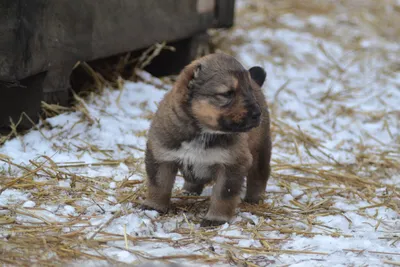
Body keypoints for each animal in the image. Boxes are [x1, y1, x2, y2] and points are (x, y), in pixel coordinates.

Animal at [141, 52, 272, 228]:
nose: (257, 114)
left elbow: (223, 195)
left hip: (261, 151)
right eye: (227, 93)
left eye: (248, 90)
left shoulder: (232, 164)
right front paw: (154, 206)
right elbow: (159, 184)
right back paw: (189, 191)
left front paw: (216, 218)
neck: (203, 132)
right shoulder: (161, 155)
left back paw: (254, 198)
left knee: (259, 175)